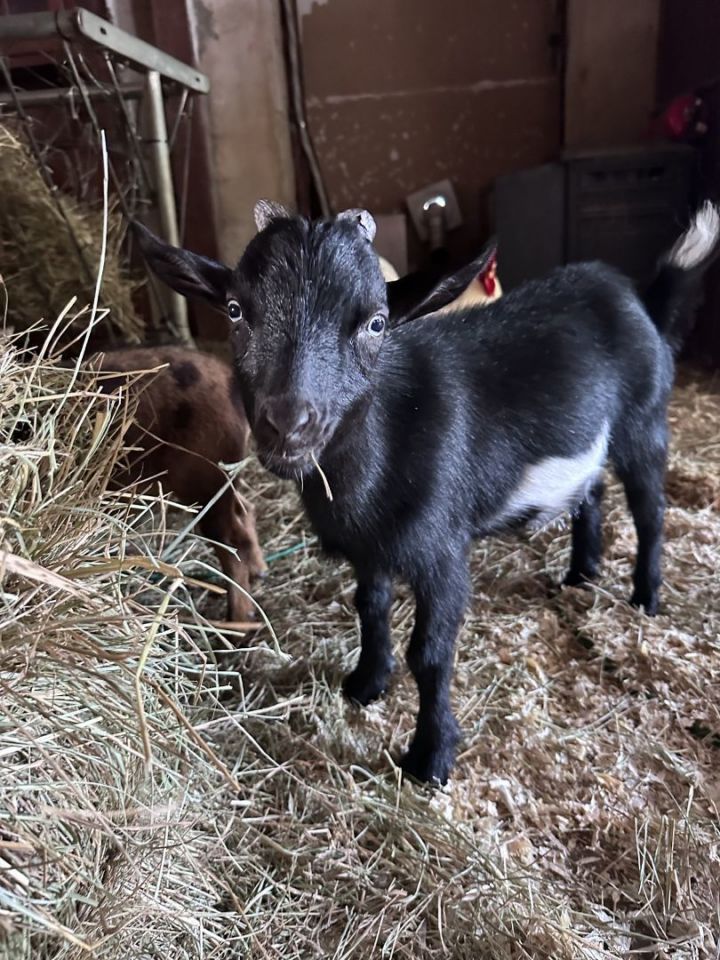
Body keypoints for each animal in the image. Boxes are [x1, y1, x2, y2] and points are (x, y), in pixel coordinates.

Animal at [94, 346, 266, 624]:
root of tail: (231, 382)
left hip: (206, 477)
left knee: (231, 541)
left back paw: (237, 625)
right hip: (219, 477)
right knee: (244, 510)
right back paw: (260, 572)